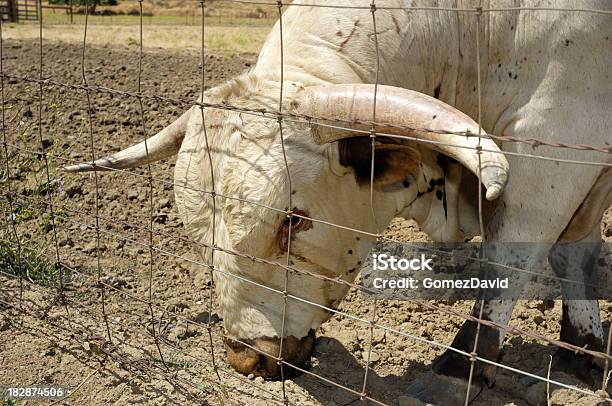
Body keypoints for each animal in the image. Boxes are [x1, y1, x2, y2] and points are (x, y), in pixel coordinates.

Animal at [64, 0, 608, 402]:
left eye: (292, 221)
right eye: (200, 239)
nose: (246, 359)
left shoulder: (553, 147)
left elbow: (510, 258)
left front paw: (458, 372)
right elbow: (574, 250)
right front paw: (583, 355)